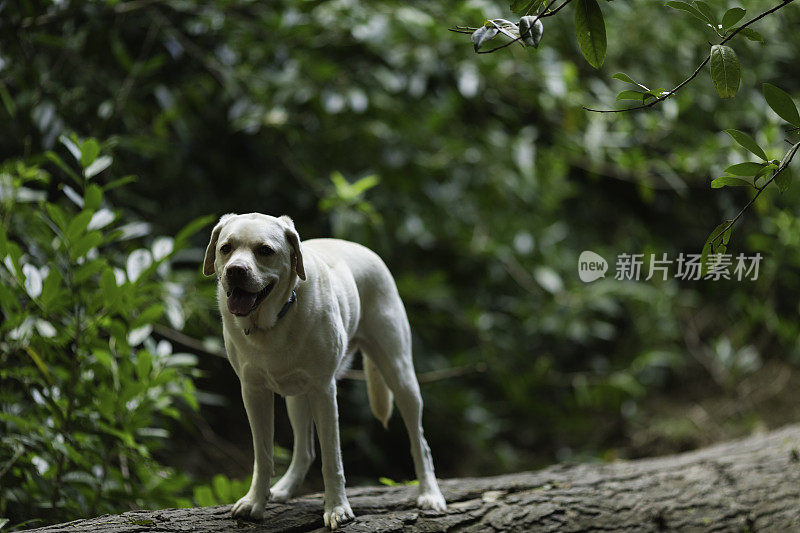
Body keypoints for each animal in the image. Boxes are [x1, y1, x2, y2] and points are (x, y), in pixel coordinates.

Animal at [203, 212, 446, 528]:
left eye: (265, 250)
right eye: (226, 248)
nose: (235, 270)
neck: (273, 322)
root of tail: (363, 248)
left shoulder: (324, 390)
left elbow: (332, 458)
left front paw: (337, 508)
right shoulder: (253, 392)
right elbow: (263, 455)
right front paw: (256, 501)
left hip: (400, 374)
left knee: (420, 443)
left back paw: (430, 494)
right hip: (296, 395)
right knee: (305, 451)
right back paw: (283, 489)